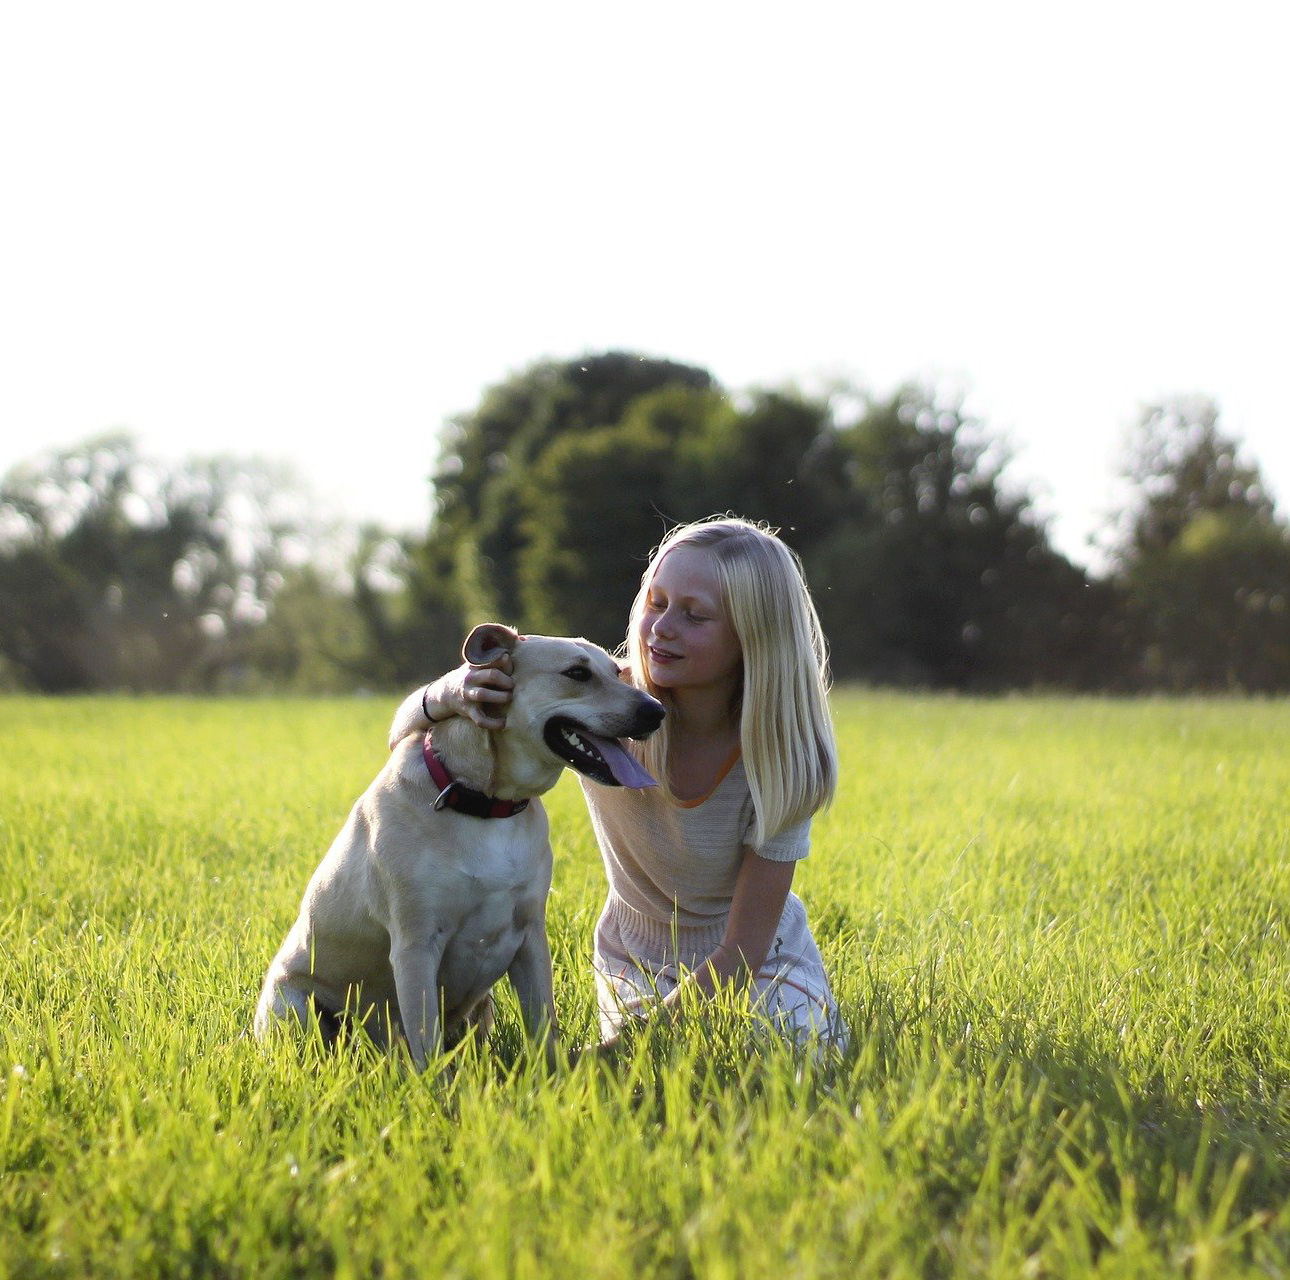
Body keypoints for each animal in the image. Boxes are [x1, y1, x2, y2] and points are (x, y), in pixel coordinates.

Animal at [250, 624, 660, 1063]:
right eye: (577, 674)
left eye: (617, 673)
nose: (657, 711)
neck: (486, 804)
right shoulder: (415, 946)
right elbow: (426, 1043)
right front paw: (437, 1083)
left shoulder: (531, 936)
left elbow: (542, 1027)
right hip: (296, 1007)